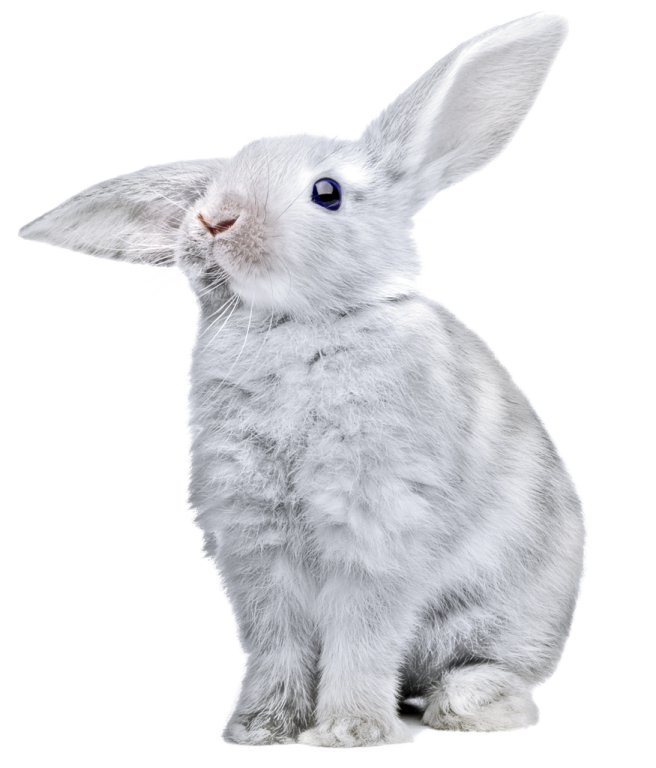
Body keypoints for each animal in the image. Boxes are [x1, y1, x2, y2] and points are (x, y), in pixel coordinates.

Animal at [17, 9, 587, 747]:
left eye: (327, 193)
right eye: (210, 189)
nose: (213, 219)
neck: (294, 327)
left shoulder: (375, 525)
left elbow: (362, 637)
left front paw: (347, 732)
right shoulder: (255, 544)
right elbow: (274, 642)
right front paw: (260, 728)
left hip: (502, 622)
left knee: (496, 676)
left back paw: (465, 709)